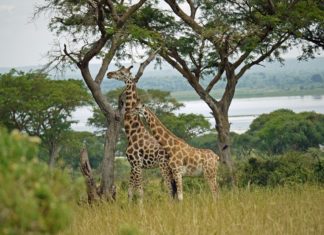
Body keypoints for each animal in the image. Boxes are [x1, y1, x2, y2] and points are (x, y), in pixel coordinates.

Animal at [106, 65, 176, 201]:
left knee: (170, 189)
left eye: (122, 73)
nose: (109, 74)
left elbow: (139, 191)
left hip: (164, 166)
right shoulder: (133, 164)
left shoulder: (137, 163)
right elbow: (130, 191)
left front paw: (140, 206)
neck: (132, 132)